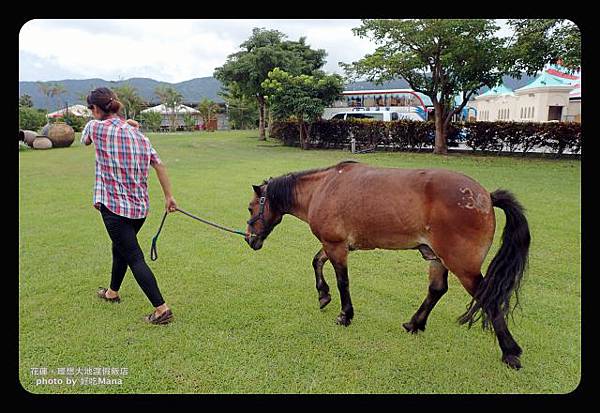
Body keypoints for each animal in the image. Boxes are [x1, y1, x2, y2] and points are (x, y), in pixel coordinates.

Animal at [244, 159, 528, 368]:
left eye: (250, 208)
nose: (249, 239)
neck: (322, 188)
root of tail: (486, 196)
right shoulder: (333, 244)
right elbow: (316, 262)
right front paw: (323, 295)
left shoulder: (336, 246)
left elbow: (343, 281)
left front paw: (345, 314)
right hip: (436, 258)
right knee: (437, 289)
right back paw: (414, 324)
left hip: (463, 267)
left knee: (488, 298)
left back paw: (510, 352)